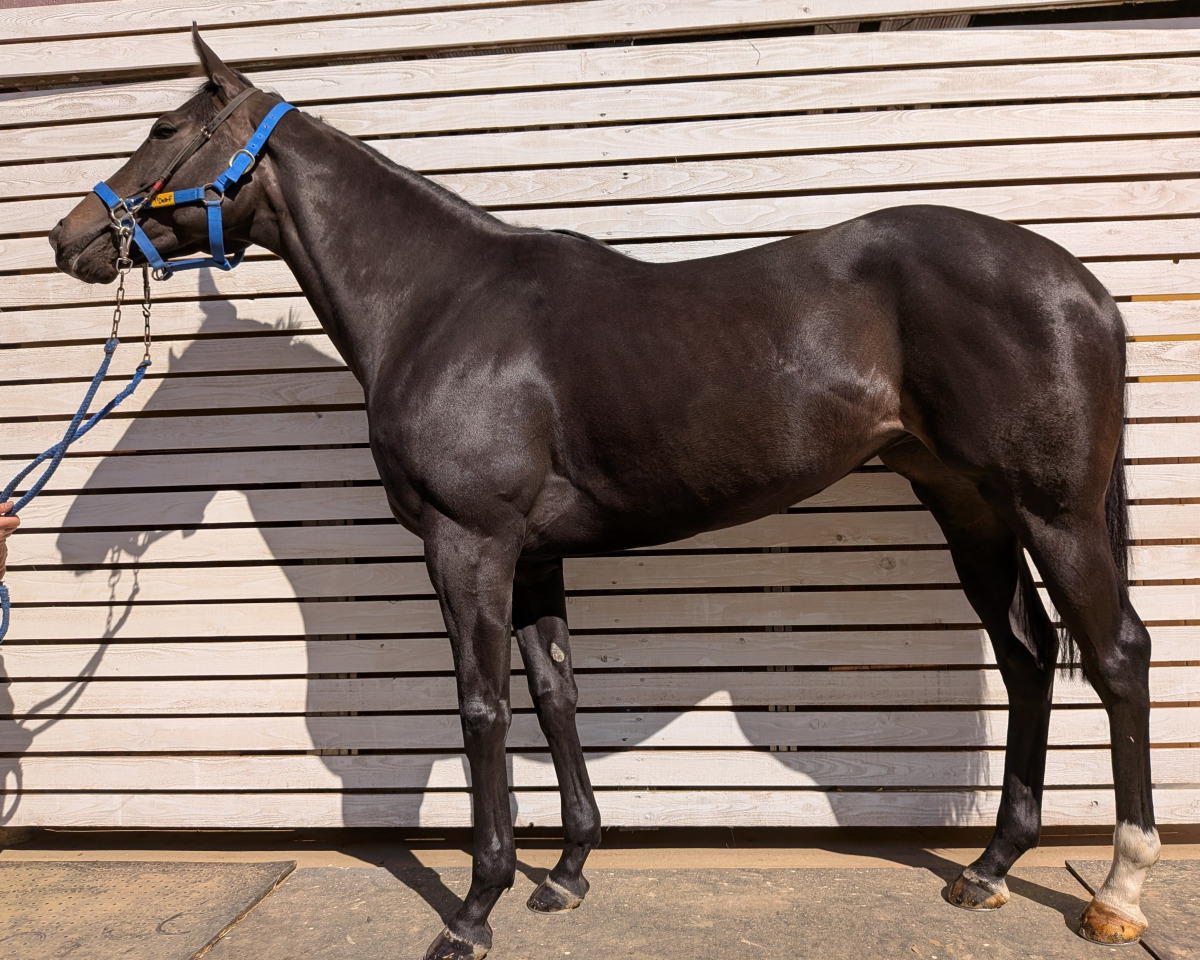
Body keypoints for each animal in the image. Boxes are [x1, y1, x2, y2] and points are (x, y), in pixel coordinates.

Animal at [48, 29, 1159, 960]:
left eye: (163, 129)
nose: (69, 238)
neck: (441, 304)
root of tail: (1082, 285)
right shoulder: (535, 554)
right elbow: (556, 696)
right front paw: (569, 874)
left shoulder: (469, 544)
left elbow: (484, 707)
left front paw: (474, 911)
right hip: (971, 509)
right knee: (1025, 656)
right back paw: (990, 868)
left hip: (1053, 514)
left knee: (1114, 655)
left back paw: (1119, 890)